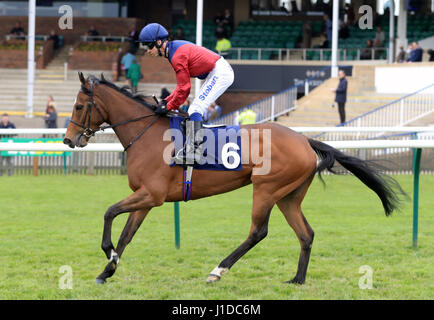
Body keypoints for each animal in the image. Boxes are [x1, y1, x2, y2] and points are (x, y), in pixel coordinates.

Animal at [62, 73, 402, 284]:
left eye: (78, 106)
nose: (68, 139)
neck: (147, 136)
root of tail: (305, 140)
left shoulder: (152, 195)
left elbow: (109, 213)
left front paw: (107, 252)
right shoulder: (146, 198)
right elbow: (126, 235)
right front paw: (108, 270)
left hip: (266, 188)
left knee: (258, 232)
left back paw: (218, 270)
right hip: (288, 196)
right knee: (306, 234)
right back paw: (298, 279)